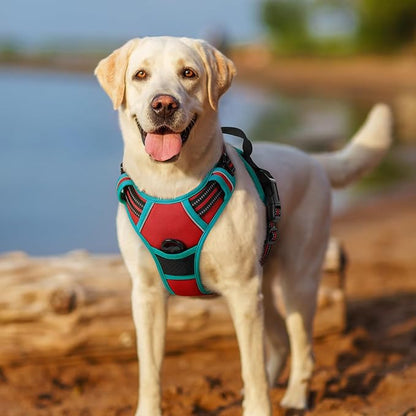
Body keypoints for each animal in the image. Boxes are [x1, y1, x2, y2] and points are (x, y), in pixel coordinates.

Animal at [95, 36, 394, 416]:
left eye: (188, 73)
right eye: (140, 75)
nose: (163, 104)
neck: (171, 183)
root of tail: (314, 160)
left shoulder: (242, 290)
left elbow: (250, 367)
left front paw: (258, 406)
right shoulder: (147, 294)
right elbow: (150, 371)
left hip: (296, 282)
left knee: (302, 347)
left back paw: (295, 397)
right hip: (263, 282)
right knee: (280, 341)